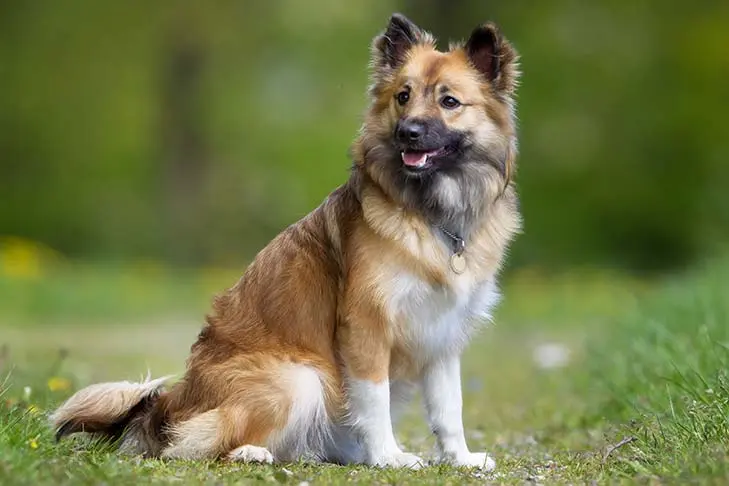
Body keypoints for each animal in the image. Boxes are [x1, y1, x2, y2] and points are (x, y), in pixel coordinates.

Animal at [51, 13, 516, 470]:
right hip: (299, 378)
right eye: (403, 96)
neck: (432, 214)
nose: (408, 132)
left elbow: (448, 408)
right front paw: (388, 456)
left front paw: (460, 458)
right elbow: (374, 399)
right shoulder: (365, 326)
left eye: (449, 101)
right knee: (193, 445)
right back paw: (252, 452)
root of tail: (168, 406)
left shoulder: (443, 335)